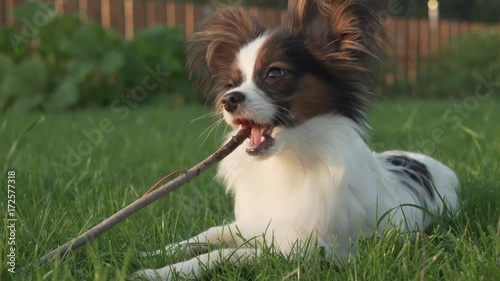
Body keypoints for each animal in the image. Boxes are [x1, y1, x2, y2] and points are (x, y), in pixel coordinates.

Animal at [132, 0, 458, 278]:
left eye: (275, 73)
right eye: (230, 84)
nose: (229, 99)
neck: (286, 161)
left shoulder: (303, 250)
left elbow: (223, 254)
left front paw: (157, 272)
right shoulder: (251, 224)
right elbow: (208, 235)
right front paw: (151, 254)